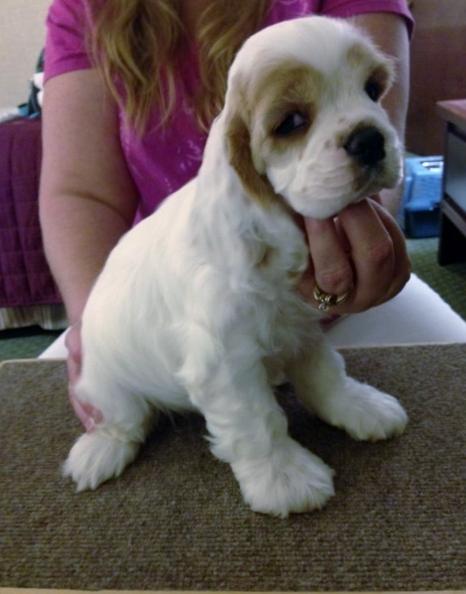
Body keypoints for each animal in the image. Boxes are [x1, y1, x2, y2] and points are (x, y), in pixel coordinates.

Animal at [64, 16, 408, 516]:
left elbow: (326, 372)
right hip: (104, 385)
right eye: (291, 122)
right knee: (122, 420)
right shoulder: (224, 358)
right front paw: (285, 477)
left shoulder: (301, 326)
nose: (369, 139)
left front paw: (359, 406)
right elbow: (257, 421)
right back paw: (99, 451)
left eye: (373, 89)